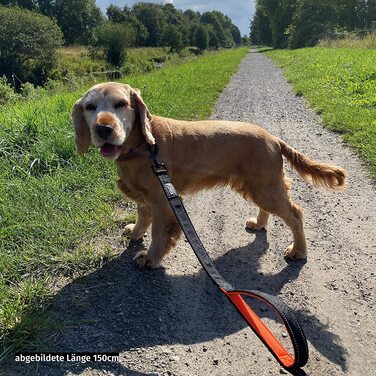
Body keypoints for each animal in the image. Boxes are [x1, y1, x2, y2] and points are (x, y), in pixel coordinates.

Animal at [72, 82, 348, 268]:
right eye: (90, 107)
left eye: (121, 104)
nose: (103, 128)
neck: (143, 146)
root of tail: (274, 139)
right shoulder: (144, 196)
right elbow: (142, 218)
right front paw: (135, 232)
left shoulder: (163, 200)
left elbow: (159, 233)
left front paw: (150, 258)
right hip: (259, 185)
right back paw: (259, 224)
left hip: (265, 187)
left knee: (296, 214)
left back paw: (298, 251)